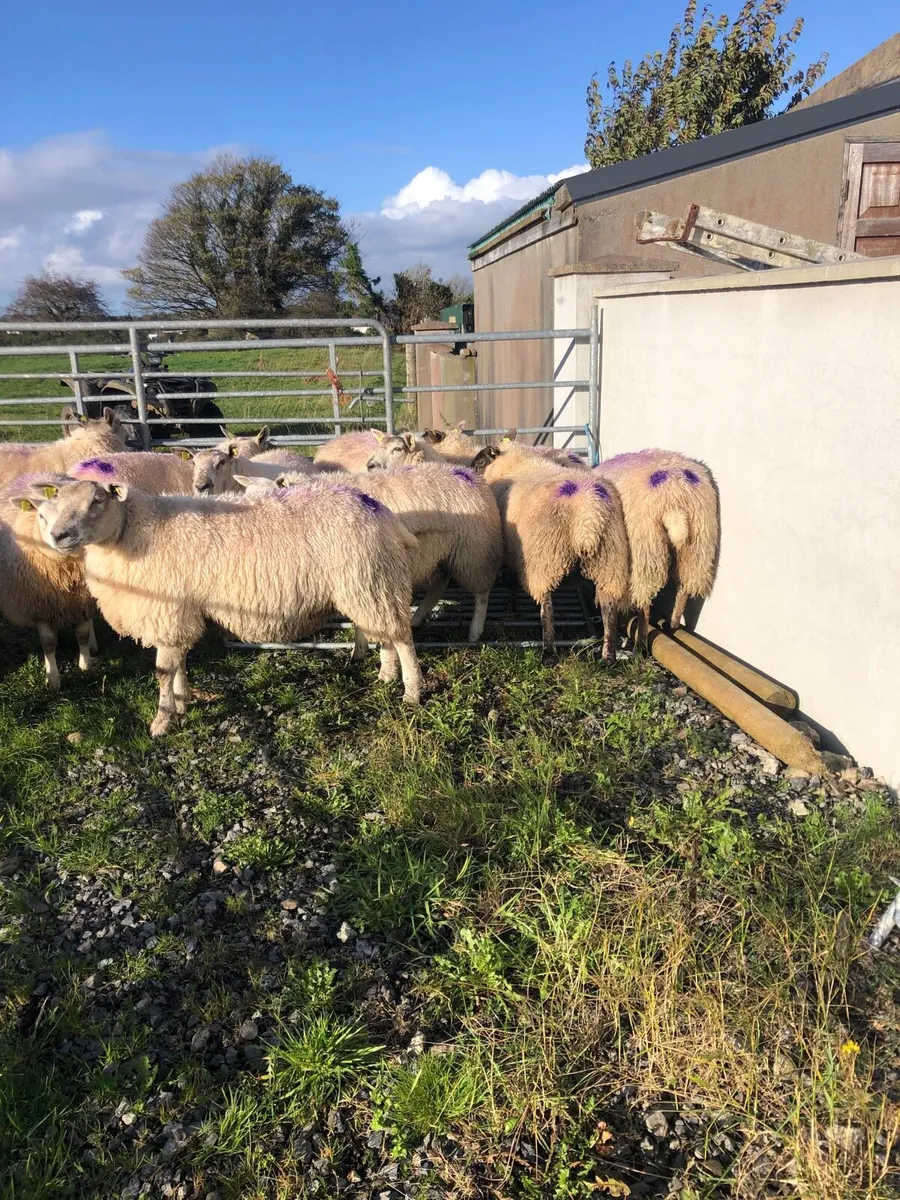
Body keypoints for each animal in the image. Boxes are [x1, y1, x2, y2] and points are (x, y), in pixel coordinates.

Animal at [0, 475, 96, 688]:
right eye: (41, 517)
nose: (58, 537)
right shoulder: (40, 607)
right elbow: (48, 642)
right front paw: (52, 678)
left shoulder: (84, 601)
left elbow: (83, 635)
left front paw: (86, 666)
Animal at [23, 478, 424, 736]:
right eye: (53, 506)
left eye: (97, 501)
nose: (58, 536)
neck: (133, 531)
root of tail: (376, 508)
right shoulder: (180, 611)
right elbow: (179, 662)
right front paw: (184, 700)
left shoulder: (168, 610)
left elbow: (163, 671)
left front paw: (162, 721)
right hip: (370, 583)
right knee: (386, 634)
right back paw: (386, 675)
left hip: (369, 579)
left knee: (402, 638)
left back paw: (412, 692)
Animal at [237, 463, 503, 643]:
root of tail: (471, 475)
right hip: (439, 553)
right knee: (440, 583)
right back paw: (418, 618)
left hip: (474, 550)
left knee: (482, 593)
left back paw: (475, 631)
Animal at [471, 442, 629, 659]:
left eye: (479, 462)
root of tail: (588, 516)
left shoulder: (511, 553)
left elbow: (511, 584)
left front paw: (511, 609)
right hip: (609, 562)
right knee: (609, 612)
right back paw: (608, 657)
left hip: (545, 560)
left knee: (547, 610)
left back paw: (548, 652)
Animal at [594, 449, 719, 634]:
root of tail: (674, 497)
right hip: (697, 547)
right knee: (683, 588)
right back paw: (672, 625)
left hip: (644, 551)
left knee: (644, 603)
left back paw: (638, 637)